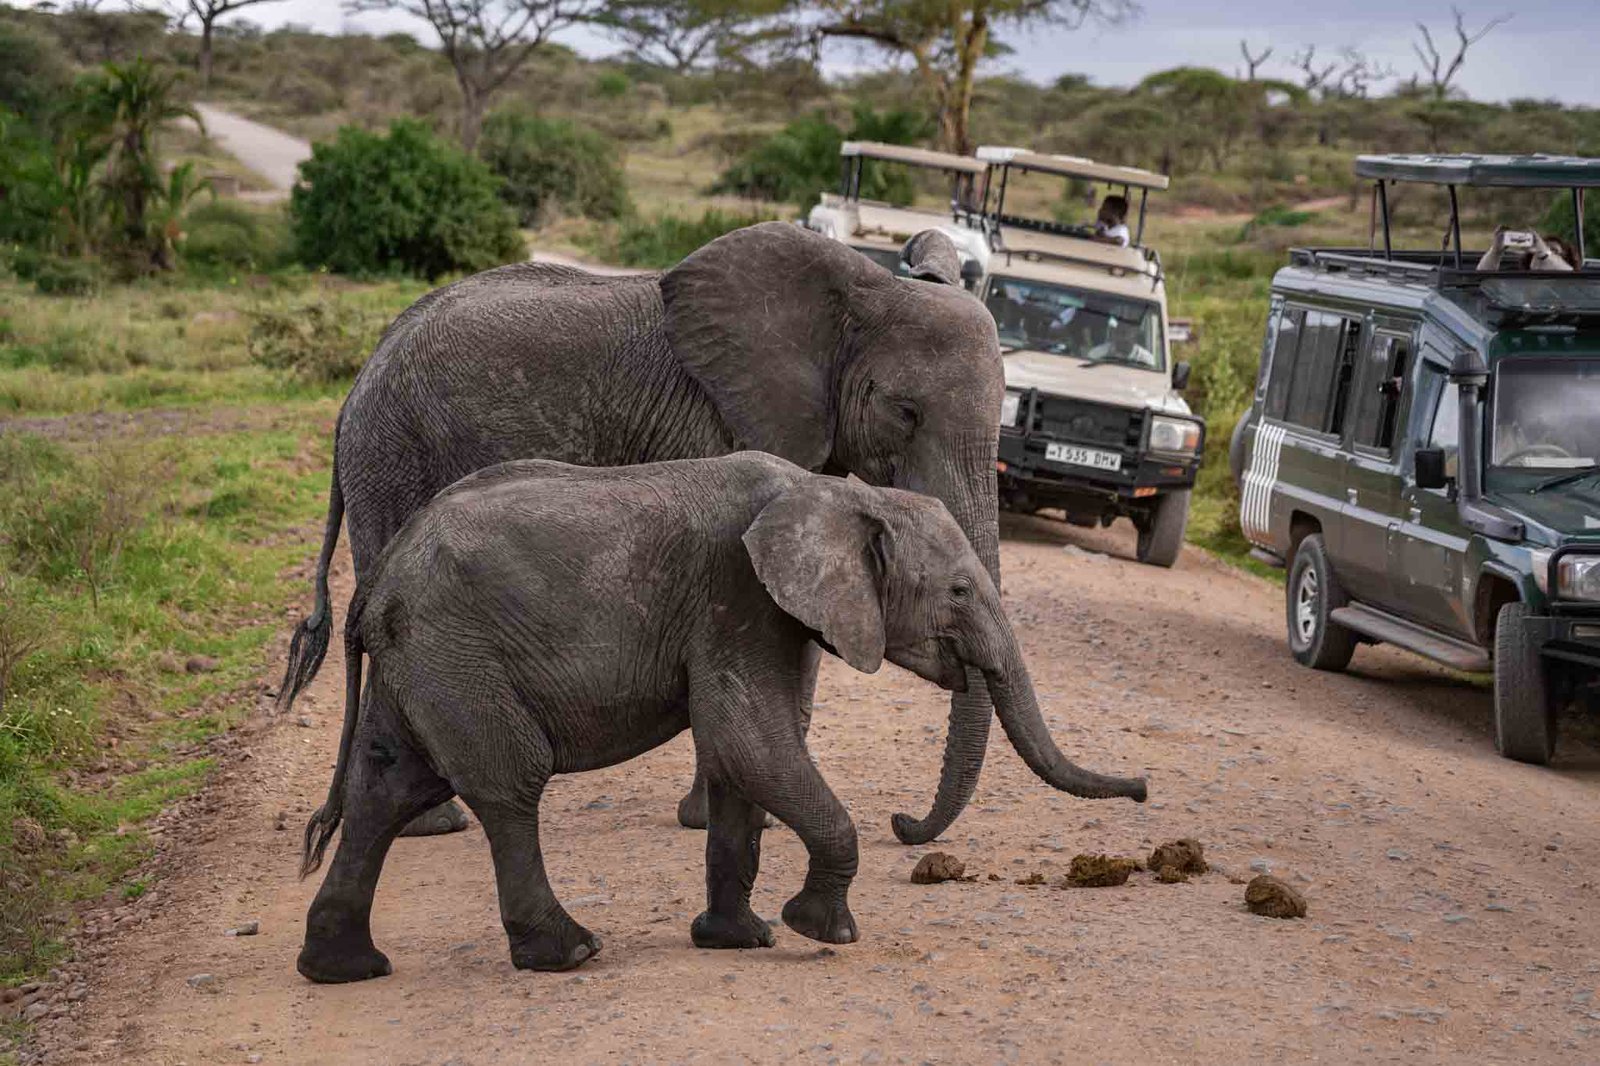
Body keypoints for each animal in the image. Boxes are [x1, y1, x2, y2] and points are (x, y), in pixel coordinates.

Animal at [277, 221, 1012, 844]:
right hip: (394, 455)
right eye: (905, 412)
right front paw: (722, 819)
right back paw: (430, 824)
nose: (902, 824)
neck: (864, 291)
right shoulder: (716, 426)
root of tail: (358, 381)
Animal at [295, 453, 1147, 982]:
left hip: (424, 658)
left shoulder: (770, 613)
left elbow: (746, 759)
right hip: (456, 651)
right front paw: (820, 930)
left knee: (386, 787)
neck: (836, 493)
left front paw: (742, 940)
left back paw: (344, 970)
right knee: (508, 781)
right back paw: (569, 953)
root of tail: (376, 578)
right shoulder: (738, 596)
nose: (1142, 789)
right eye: (961, 592)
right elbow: (751, 739)